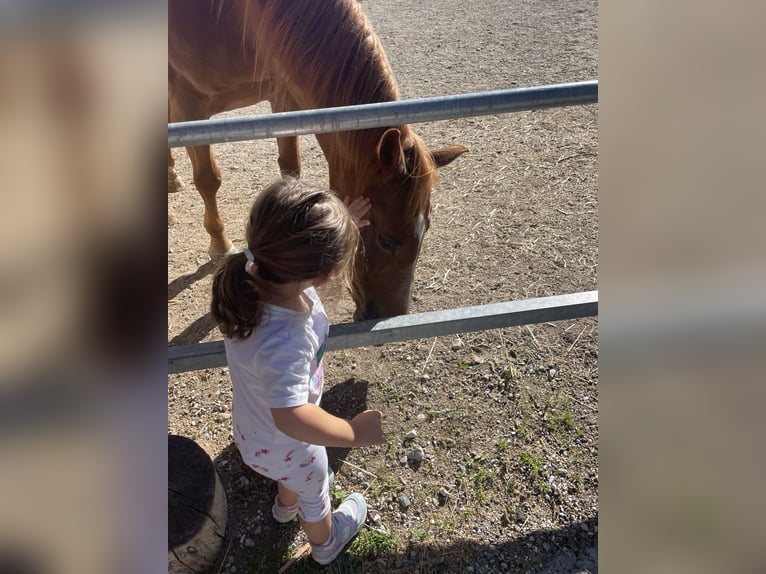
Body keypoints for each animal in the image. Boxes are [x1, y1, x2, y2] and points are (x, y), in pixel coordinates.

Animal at [168, 0, 468, 320]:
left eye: (426, 229)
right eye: (386, 240)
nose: (391, 315)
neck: (236, 20)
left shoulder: (283, 93)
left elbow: (290, 167)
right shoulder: (190, 105)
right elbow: (208, 179)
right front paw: (219, 243)